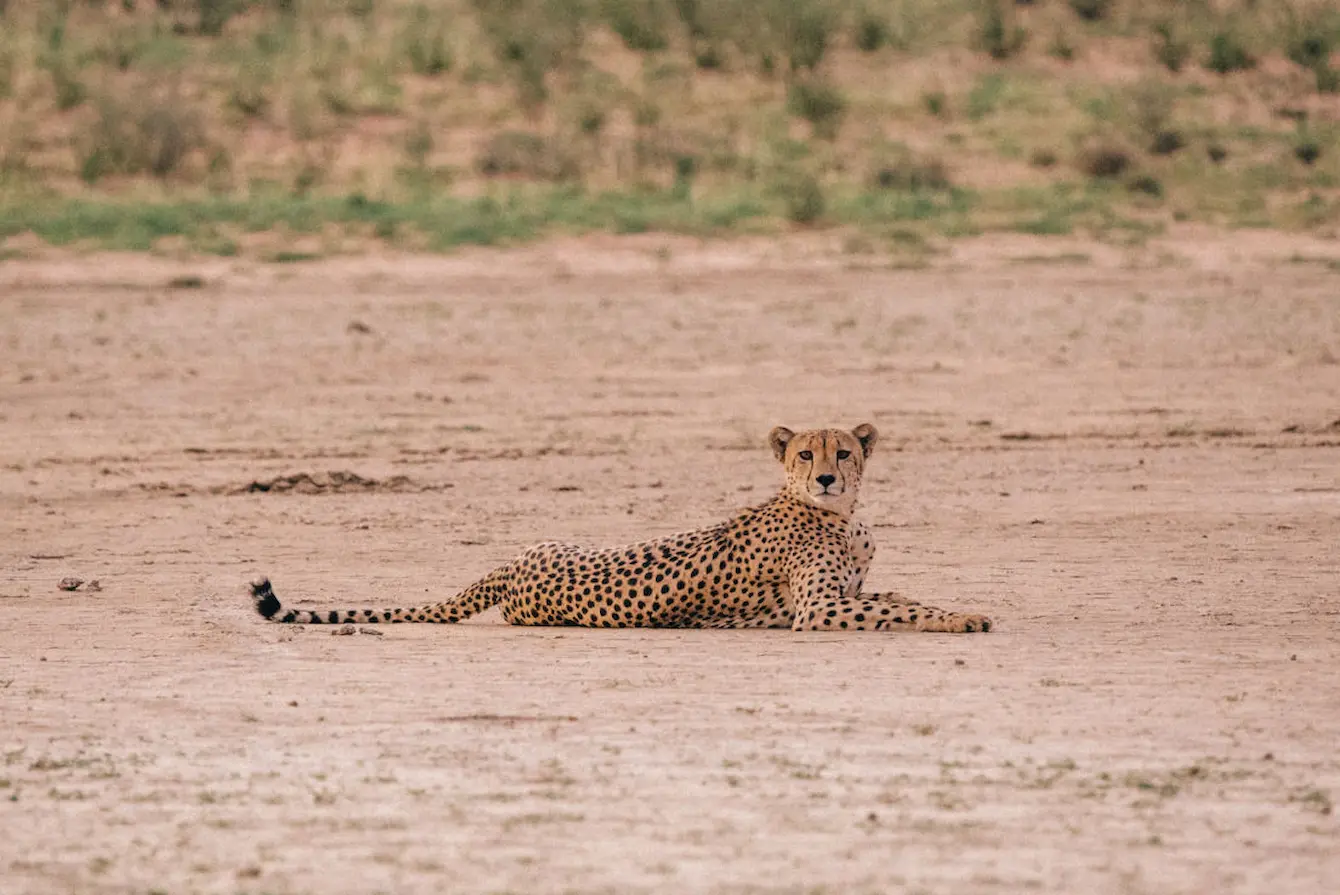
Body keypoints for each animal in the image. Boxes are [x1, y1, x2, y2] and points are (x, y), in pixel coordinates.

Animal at [252, 422, 992, 633]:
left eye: (843, 450)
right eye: (805, 454)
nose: (828, 478)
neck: (840, 516)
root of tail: (513, 563)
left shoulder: (847, 592)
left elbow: (897, 596)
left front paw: (957, 609)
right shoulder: (817, 608)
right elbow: (900, 609)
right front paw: (962, 619)